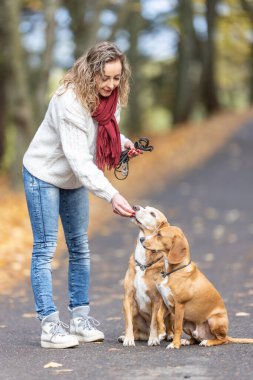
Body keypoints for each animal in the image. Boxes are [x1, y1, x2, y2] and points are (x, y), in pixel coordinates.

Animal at [118, 206, 170, 346]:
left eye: (152, 213)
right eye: (145, 208)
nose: (135, 207)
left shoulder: (157, 300)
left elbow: (154, 322)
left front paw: (153, 339)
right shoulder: (128, 297)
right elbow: (128, 323)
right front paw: (128, 339)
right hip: (135, 310)